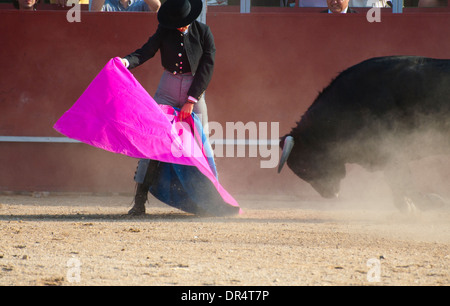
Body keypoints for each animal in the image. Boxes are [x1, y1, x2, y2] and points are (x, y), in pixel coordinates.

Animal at [280, 56, 448, 212]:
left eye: (304, 167)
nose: (329, 195)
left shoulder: (390, 150)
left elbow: (402, 179)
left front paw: (428, 203)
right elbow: (397, 181)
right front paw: (409, 206)